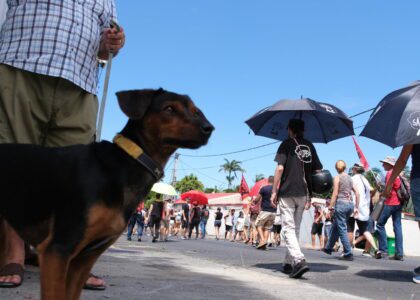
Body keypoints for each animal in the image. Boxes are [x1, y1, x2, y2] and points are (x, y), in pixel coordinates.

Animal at [0, 88, 213, 298]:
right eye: (169, 108)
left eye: (195, 111)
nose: (209, 128)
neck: (127, 162)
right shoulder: (58, 250)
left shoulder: (83, 260)